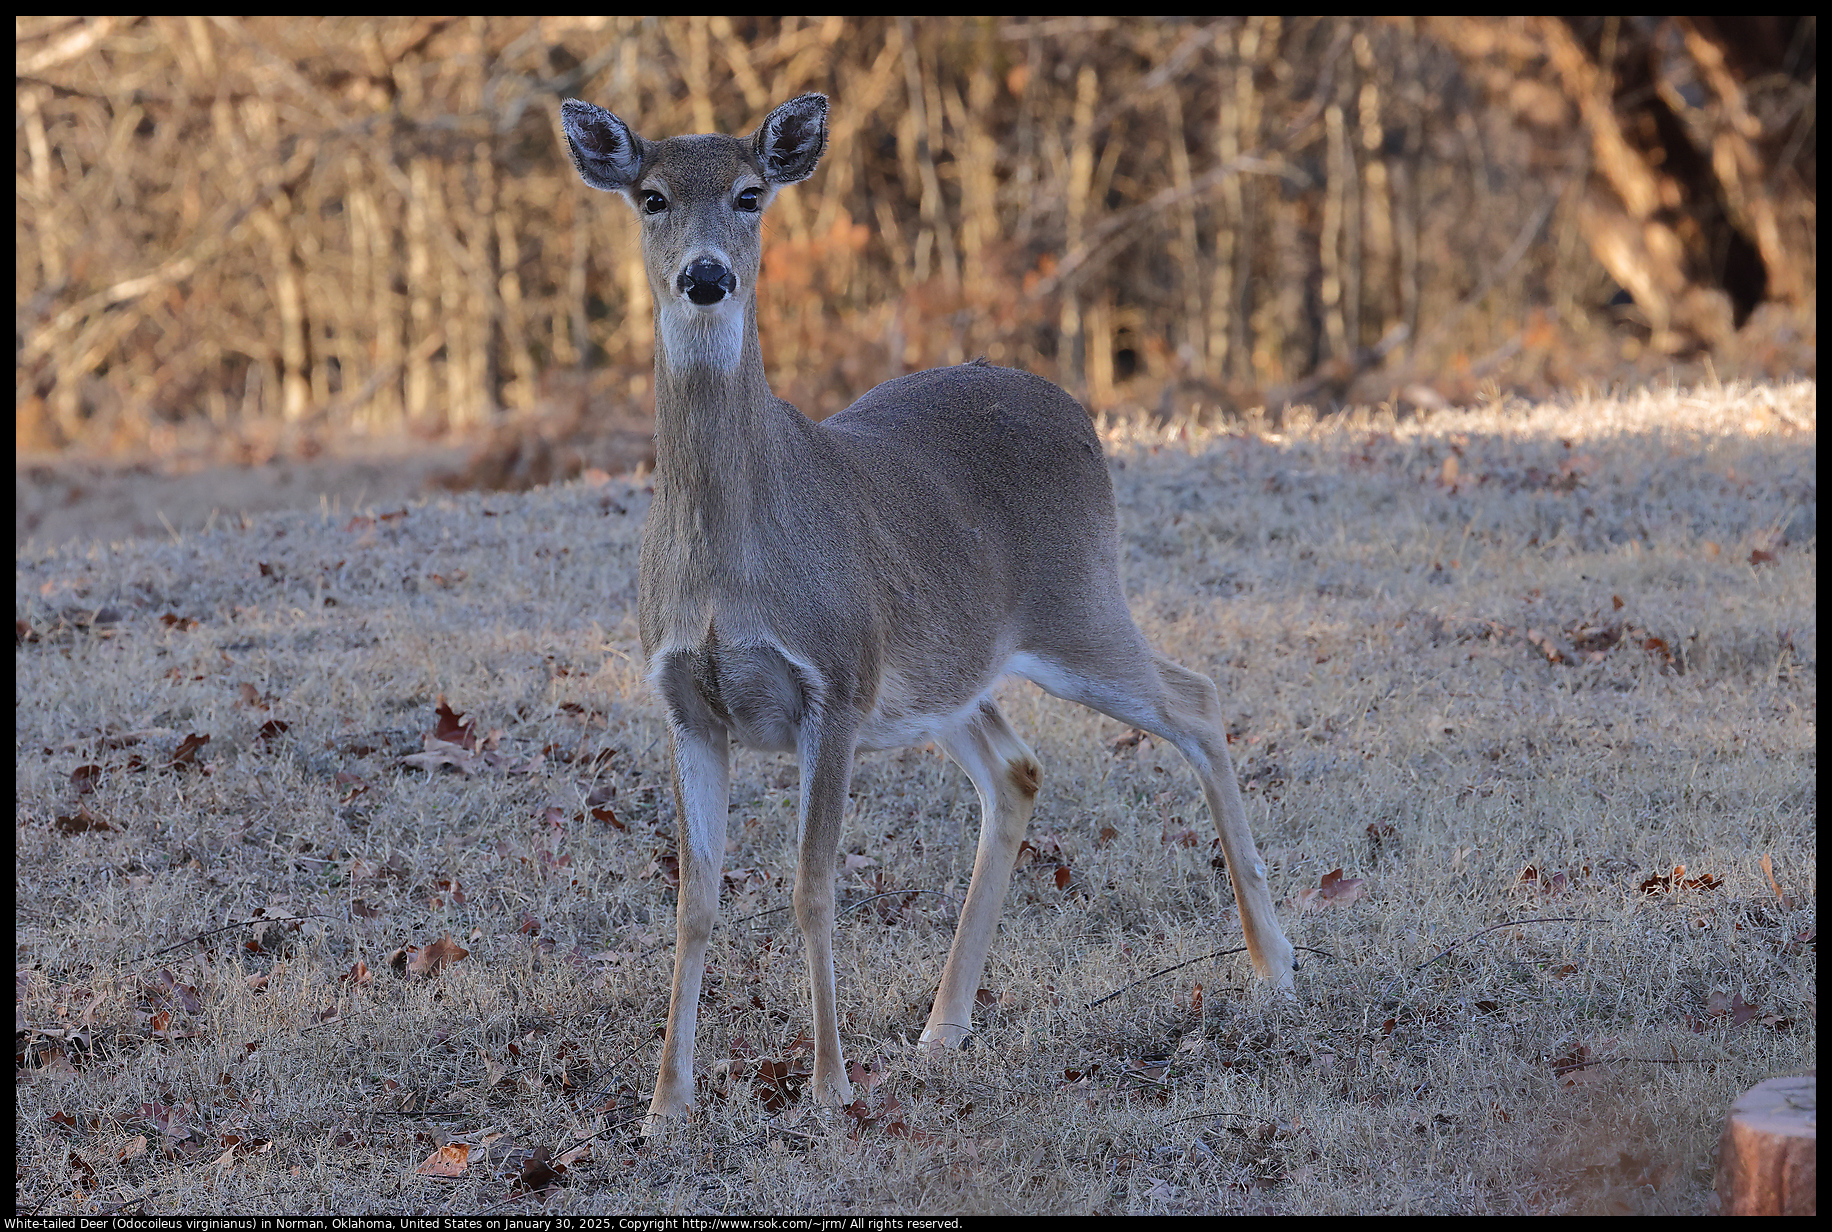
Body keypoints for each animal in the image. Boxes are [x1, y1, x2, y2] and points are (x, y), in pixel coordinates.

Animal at [560, 91, 1304, 1129]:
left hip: (1077, 601)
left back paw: (1275, 964)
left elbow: (813, 886)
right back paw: (943, 1026)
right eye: (651, 196)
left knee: (1194, 699)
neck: (726, 569)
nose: (706, 276)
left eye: (751, 195)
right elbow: (694, 898)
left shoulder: (834, 678)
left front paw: (830, 1090)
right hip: (941, 675)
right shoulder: (684, 701)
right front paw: (667, 1108)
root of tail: (1074, 406)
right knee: (1018, 767)